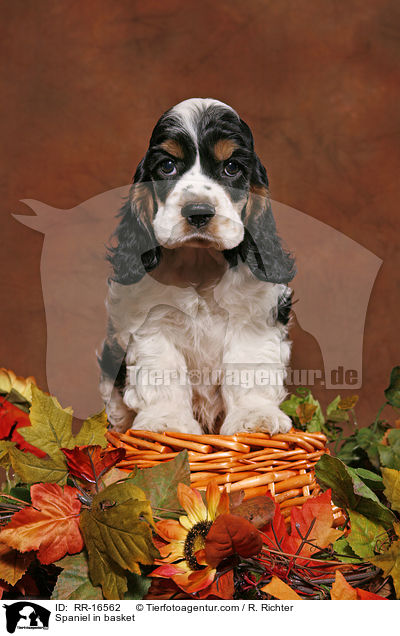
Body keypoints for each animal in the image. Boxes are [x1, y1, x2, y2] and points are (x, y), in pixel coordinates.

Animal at [99, 98, 296, 438]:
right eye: (167, 166)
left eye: (232, 167)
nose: (198, 212)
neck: (200, 266)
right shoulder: (152, 325)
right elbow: (162, 373)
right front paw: (166, 423)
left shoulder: (253, 317)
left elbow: (249, 367)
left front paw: (255, 417)